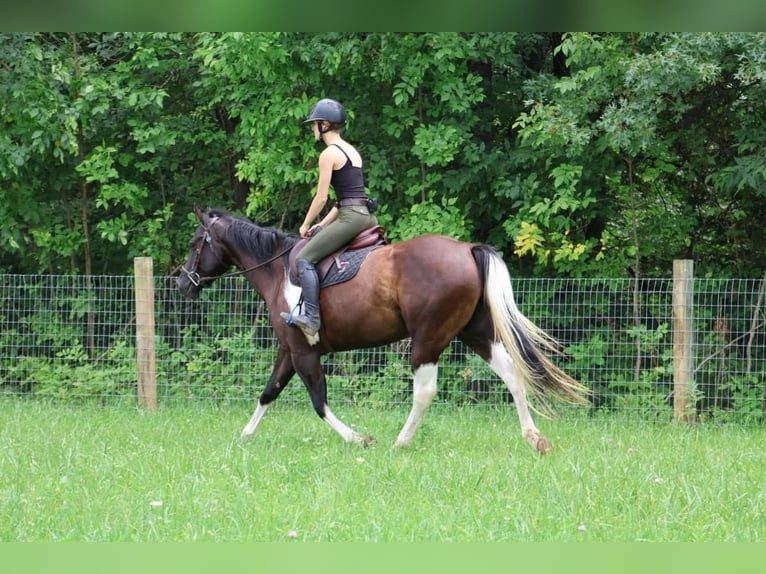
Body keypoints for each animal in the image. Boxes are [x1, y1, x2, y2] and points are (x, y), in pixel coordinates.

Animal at [178, 207, 588, 454]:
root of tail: (468, 249)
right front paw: (245, 436)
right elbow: (269, 392)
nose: (182, 284)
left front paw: (359, 438)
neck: (278, 271)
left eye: (195, 243)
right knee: (512, 373)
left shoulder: (304, 352)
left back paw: (400, 442)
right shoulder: (289, 351)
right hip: (476, 333)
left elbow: (318, 402)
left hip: (428, 339)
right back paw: (533, 437)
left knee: (424, 391)